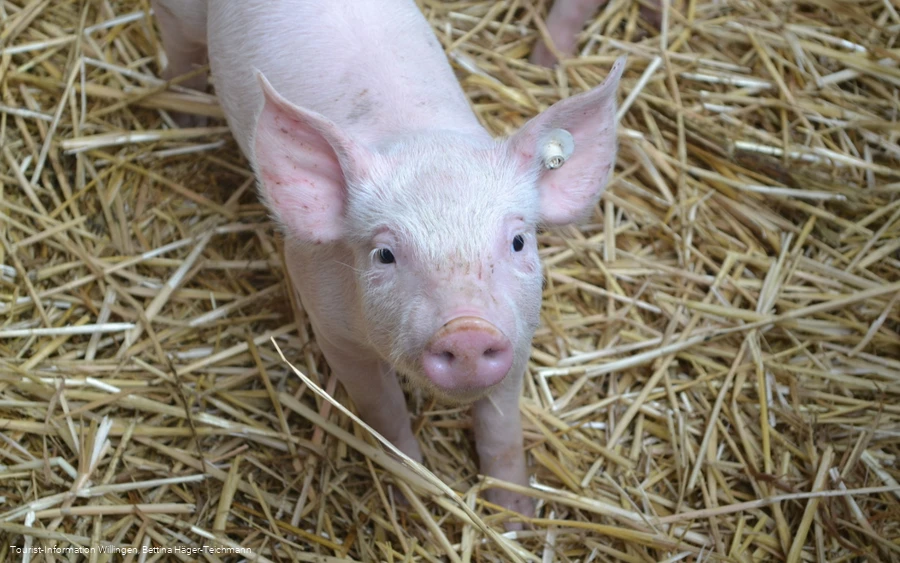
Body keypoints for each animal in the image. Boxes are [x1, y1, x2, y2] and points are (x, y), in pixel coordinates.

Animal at [151, 0, 624, 522]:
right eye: (385, 254)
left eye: (519, 242)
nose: (468, 330)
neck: (417, 135)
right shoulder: (334, 331)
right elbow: (384, 414)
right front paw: (411, 499)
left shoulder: (519, 330)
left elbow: (501, 425)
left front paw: (515, 515)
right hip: (184, 18)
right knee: (176, 42)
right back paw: (184, 119)